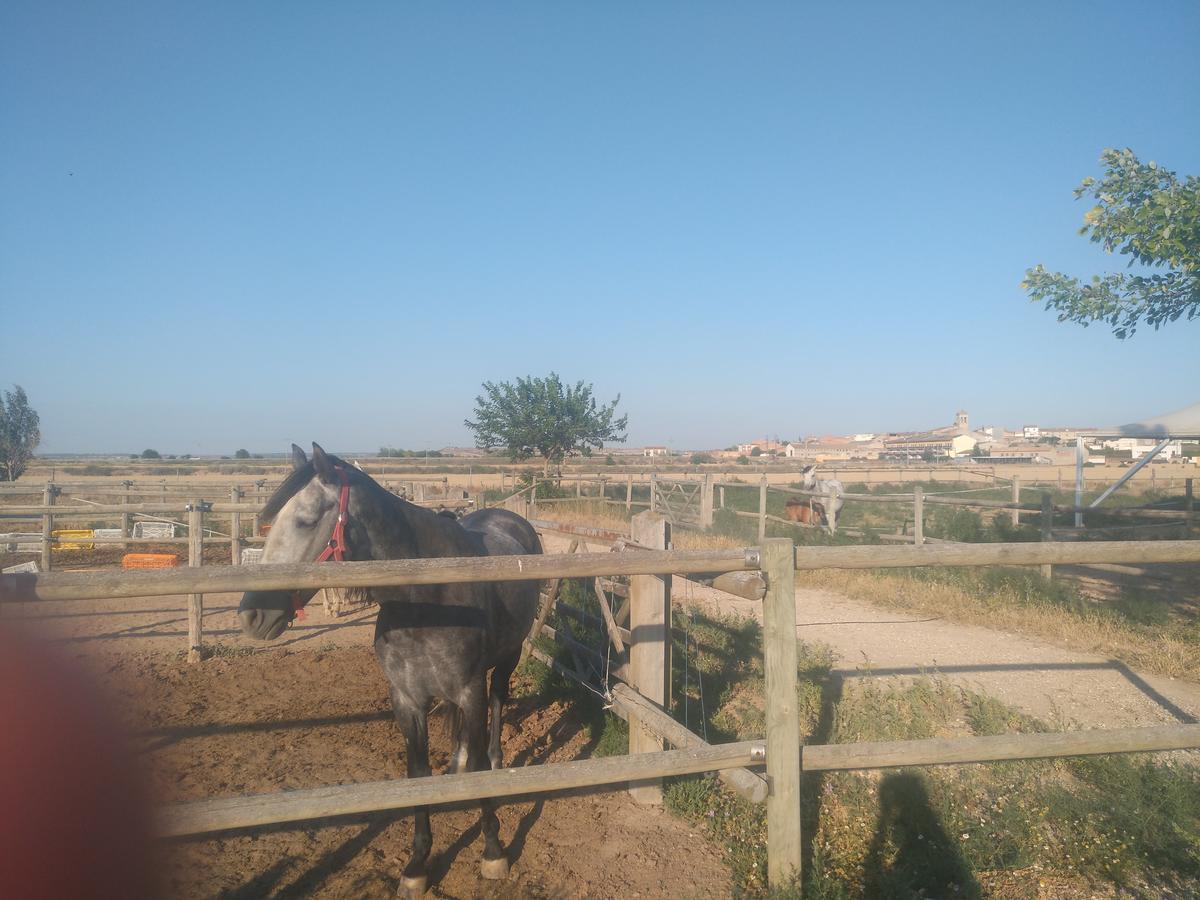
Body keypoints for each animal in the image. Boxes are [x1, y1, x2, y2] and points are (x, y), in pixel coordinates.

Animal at [238, 444, 540, 897]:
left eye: (305, 520)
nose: (251, 613)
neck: (428, 600)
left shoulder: (470, 690)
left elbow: (480, 770)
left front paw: (493, 852)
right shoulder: (407, 699)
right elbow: (416, 773)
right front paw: (416, 867)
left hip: (508, 658)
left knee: (498, 704)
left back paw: (494, 758)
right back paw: (457, 762)